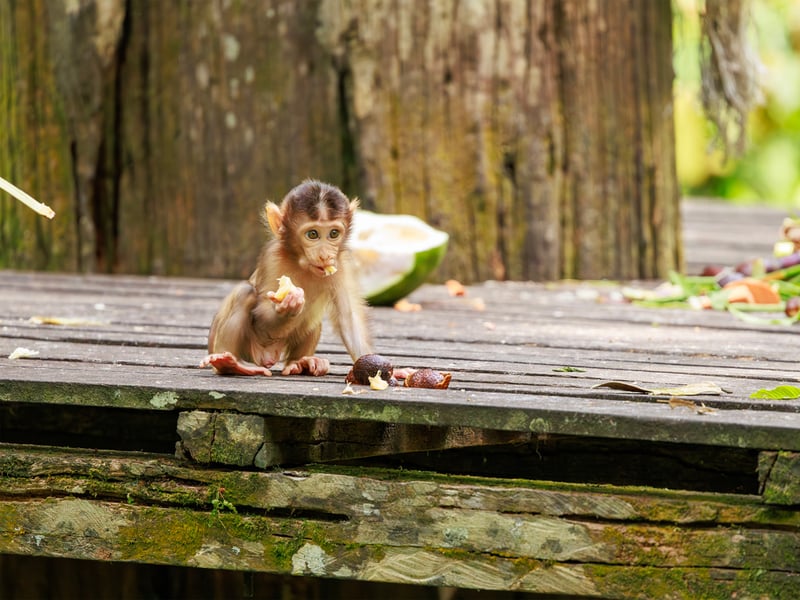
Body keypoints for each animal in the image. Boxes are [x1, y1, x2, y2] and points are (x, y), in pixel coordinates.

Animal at [200, 179, 373, 376]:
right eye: (313, 234)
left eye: (334, 233)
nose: (325, 256)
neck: (302, 263)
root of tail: (267, 357)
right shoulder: (272, 257)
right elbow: (262, 315)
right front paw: (287, 307)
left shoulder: (342, 263)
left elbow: (348, 318)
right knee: (244, 292)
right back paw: (230, 363)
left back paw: (299, 363)